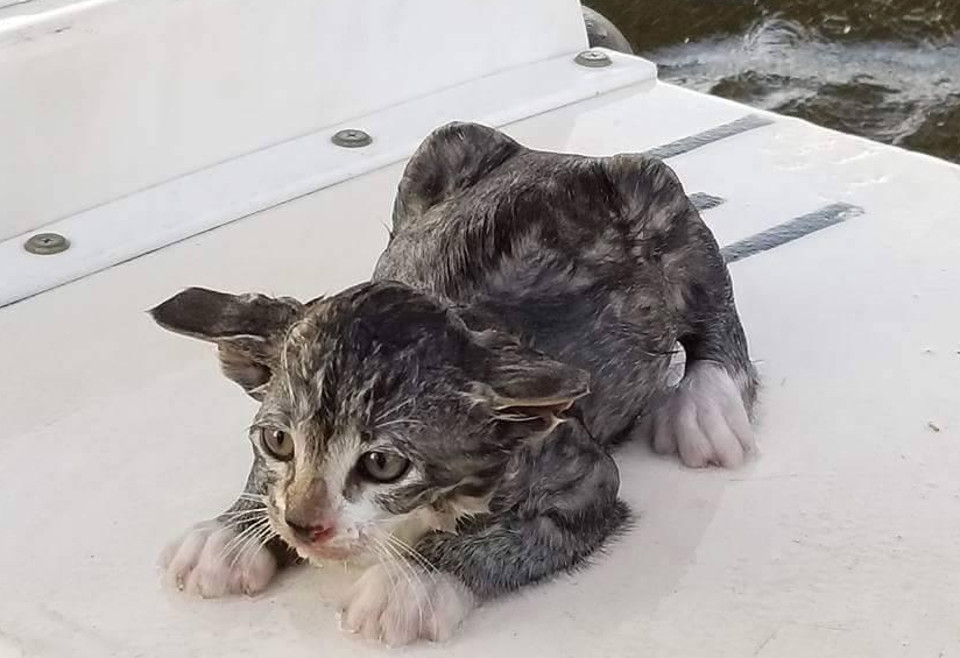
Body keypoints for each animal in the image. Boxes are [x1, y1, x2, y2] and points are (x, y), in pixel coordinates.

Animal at [154, 120, 760, 644]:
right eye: (277, 441)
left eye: (382, 464)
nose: (304, 526)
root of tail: (559, 155)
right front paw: (232, 534)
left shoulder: (581, 476)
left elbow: (511, 536)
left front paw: (413, 585)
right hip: (442, 149)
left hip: (654, 194)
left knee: (712, 297)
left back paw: (708, 405)